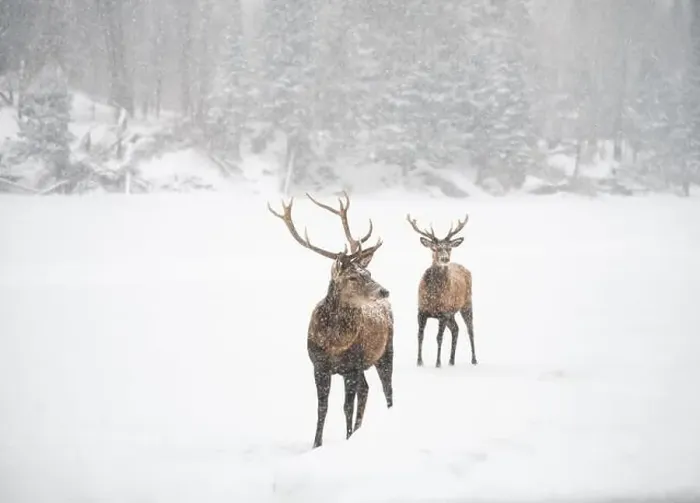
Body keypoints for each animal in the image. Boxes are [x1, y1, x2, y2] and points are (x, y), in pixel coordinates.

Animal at [268, 191, 394, 449]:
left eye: (368, 273)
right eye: (353, 277)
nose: (384, 291)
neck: (334, 344)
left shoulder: (352, 366)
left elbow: (345, 407)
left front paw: (346, 438)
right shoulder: (319, 366)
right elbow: (322, 408)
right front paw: (317, 443)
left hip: (385, 351)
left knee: (387, 389)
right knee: (367, 389)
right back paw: (359, 430)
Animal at [406, 212, 477, 368]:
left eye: (450, 248)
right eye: (434, 248)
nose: (445, 258)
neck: (433, 296)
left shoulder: (443, 313)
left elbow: (439, 337)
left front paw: (438, 363)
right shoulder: (421, 311)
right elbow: (420, 335)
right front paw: (419, 362)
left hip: (466, 303)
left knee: (470, 330)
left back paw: (474, 360)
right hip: (452, 313)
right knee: (456, 329)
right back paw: (451, 361)